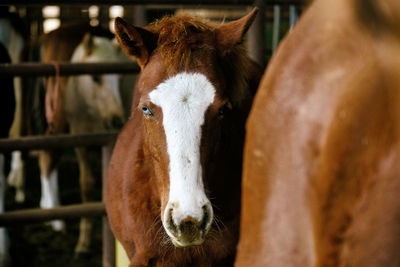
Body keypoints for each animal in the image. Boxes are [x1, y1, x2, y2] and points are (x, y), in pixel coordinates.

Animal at [38, 24, 125, 256]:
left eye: (120, 78)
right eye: (95, 78)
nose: (116, 119)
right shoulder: (81, 141)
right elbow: (87, 186)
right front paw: (83, 243)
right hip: (58, 117)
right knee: (47, 156)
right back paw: (54, 215)